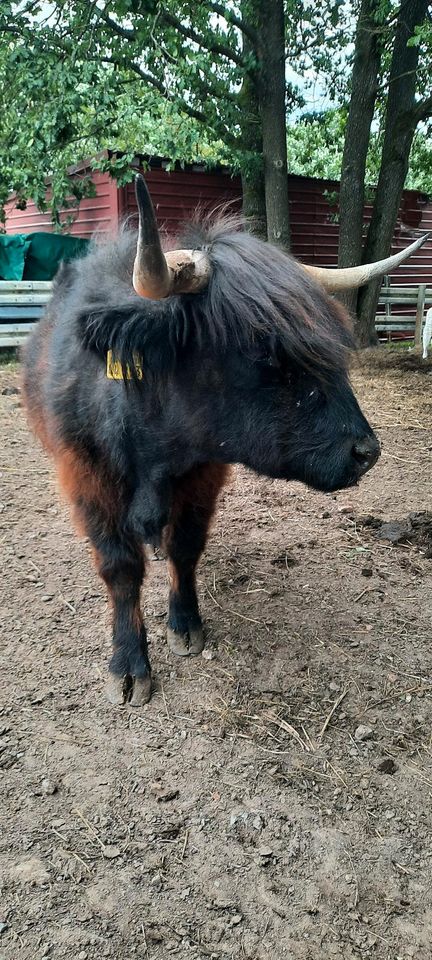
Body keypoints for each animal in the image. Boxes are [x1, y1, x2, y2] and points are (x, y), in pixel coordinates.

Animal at [22, 178, 424, 704]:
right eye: (263, 350)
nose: (366, 452)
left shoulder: (203, 477)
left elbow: (185, 547)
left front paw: (186, 623)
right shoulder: (87, 479)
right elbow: (119, 567)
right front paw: (128, 664)